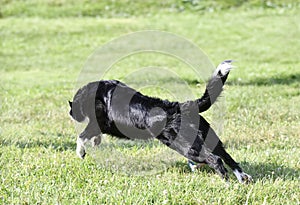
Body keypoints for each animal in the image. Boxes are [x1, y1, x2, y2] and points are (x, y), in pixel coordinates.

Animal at [69, 60, 252, 183]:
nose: (70, 113)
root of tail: (181, 106)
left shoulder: (99, 122)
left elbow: (81, 136)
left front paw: (81, 152)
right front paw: (95, 142)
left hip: (184, 146)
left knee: (216, 160)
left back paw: (226, 183)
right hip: (210, 138)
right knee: (228, 157)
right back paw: (243, 178)